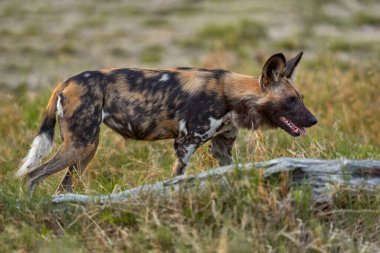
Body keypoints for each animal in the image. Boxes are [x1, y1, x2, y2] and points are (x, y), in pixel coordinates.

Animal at [15, 52, 318, 193]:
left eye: (301, 98)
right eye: (291, 100)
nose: (314, 120)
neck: (231, 95)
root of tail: (67, 80)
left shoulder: (221, 148)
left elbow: (232, 170)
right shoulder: (184, 144)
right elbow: (176, 179)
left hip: (86, 149)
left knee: (62, 186)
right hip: (80, 145)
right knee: (32, 175)